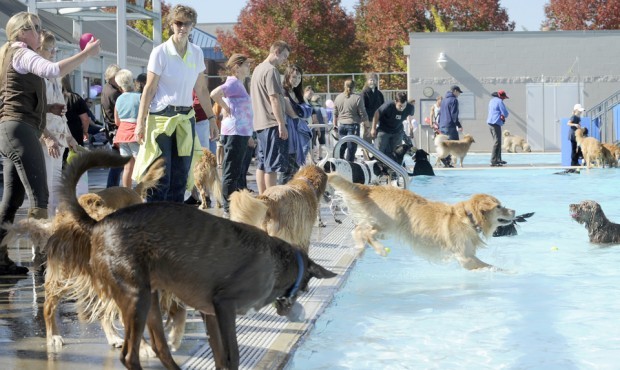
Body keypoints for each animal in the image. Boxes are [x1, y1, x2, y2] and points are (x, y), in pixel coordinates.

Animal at [326, 173, 516, 268]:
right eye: (499, 206)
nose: (514, 210)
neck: (469, 218)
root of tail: (372, 188)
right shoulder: (465, 258)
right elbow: (491, 266)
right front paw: (509, 272)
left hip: (385, 229)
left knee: (358, 230)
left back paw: (359, 249)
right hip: (390, 222)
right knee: (366, 233)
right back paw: (379, 250)